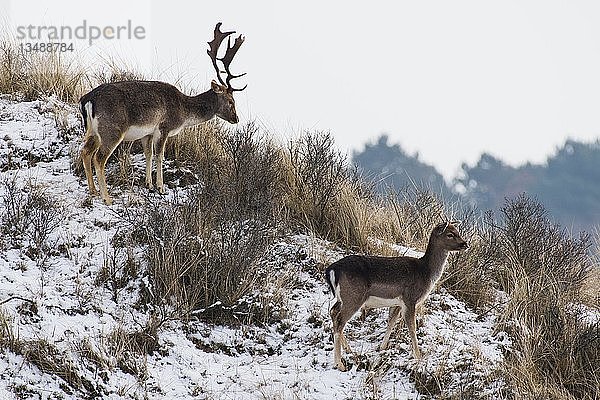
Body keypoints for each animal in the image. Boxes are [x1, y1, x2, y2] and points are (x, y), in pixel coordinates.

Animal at [80, 22, 246, 205]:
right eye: (231, 101)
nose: (236, 118)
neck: (183, 112)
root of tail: (87, 99)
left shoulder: (147, 132)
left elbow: (149, 153)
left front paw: (149, 184)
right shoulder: (164, 127)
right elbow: (160, 155)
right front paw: (161, 187)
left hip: (92, 131)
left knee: (85, 152)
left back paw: (93, 191)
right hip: (112, 129)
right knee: (99, 158)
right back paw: (107, 198)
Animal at [324, 220, 468, 370]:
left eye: (458, 231)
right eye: (450, 234)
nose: (465, 244)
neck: (426, 273)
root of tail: (332, 270)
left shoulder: (398, 302)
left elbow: (391, 322)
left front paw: (382, 347)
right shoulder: (410, 299)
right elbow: (412, 327)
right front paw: (418, 357)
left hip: (342, 298)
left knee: (333, 312)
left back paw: (349, 350)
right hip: (353, 297)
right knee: (340, 321)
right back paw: (339, 363)